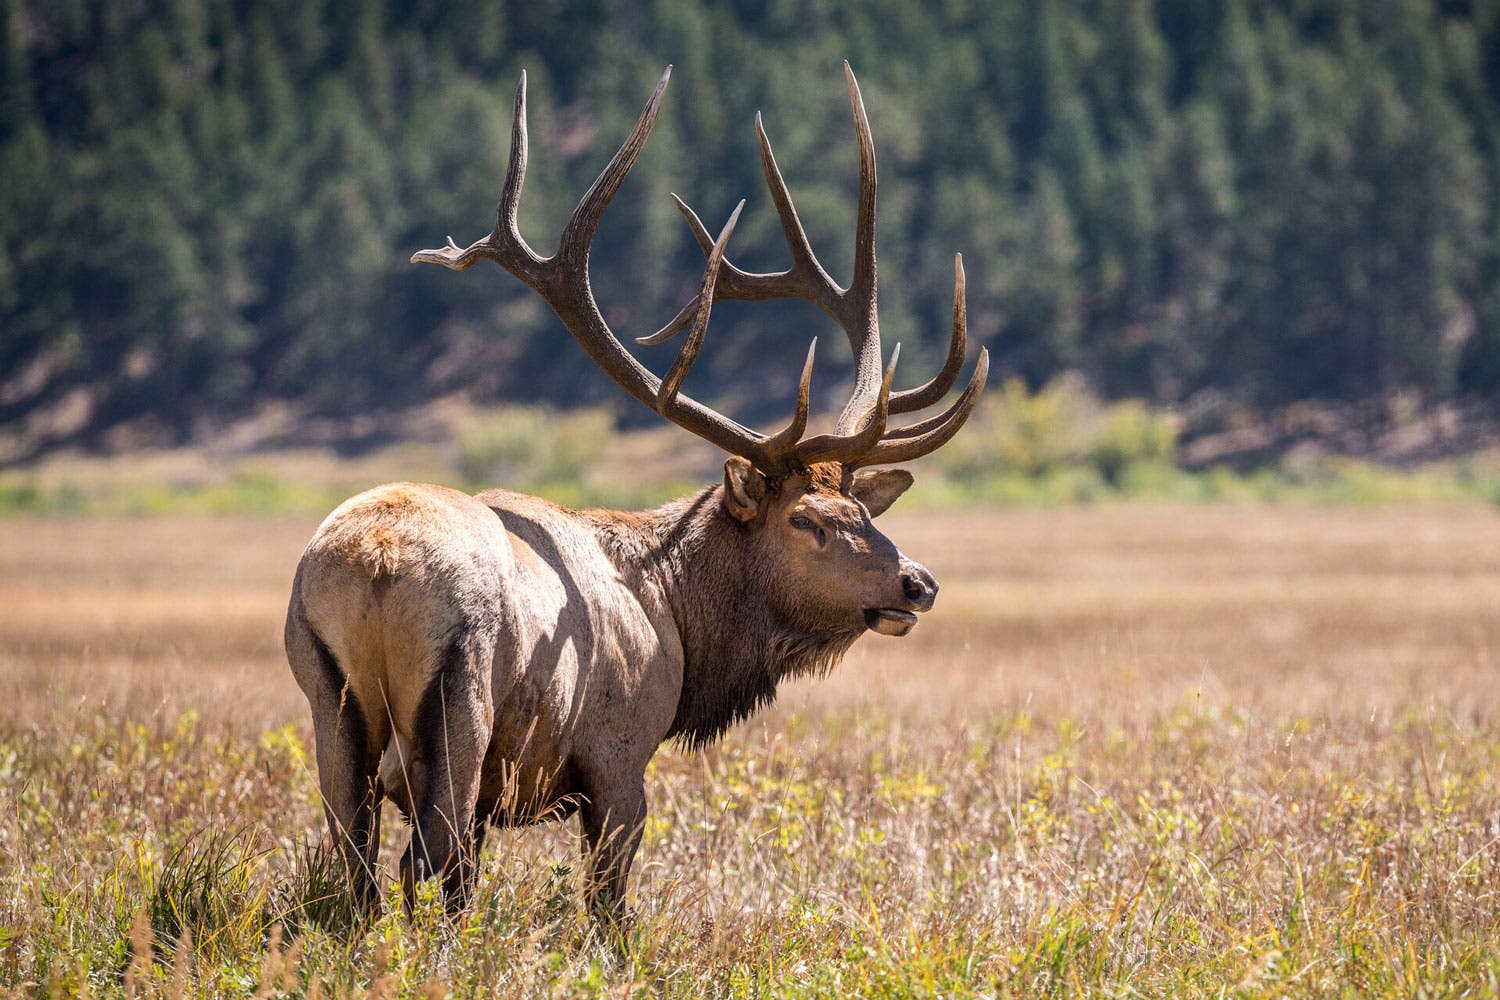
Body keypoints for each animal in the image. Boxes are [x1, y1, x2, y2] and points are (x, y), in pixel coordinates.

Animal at [283, 63, 988, 918]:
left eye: (860, 508)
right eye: (808, 520)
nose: (917, 582)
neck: (680, 614)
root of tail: (376, 563)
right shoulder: (617, 753)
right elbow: (608, 904)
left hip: (328, 701)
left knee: (357, 869)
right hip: (461, 700)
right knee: (427, 861)